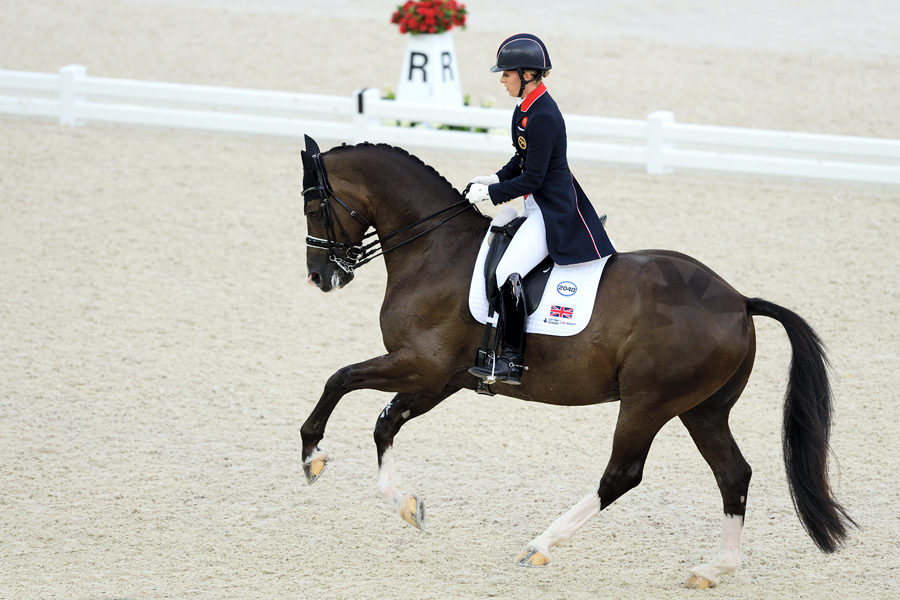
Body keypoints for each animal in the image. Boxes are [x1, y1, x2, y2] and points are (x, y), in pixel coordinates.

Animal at [298, 138, 856, 588]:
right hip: (703, 409)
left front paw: (312, 454)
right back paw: (714, 569)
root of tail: (739, 300)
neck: (435, 251)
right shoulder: (442, 378)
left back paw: (540, 545)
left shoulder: (420, 364)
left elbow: (339, 379)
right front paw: (405, 504)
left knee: (622, 475)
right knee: (733, 475)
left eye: (312, 204)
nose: (320, 277)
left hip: (648, 403)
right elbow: (385, 422)